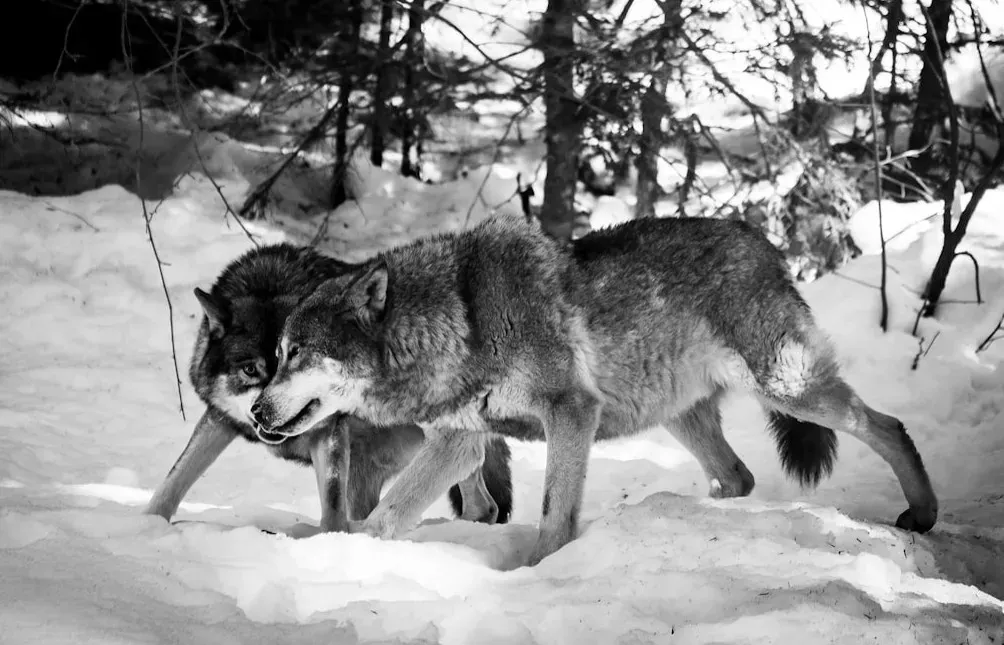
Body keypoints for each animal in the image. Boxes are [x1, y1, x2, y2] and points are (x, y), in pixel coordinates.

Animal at [144, 243, 513, 532]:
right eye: (251, 369)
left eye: (297, 360)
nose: (264, 412)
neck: (271, 283)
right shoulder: (220, 419)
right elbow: (175, 479)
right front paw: (146, 526)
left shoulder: (330, 431)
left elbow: (332, 509)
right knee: (482, 503)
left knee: (480, 498)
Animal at [251, 216, 938, 565]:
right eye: (276, 356)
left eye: (298, 354)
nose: (256, 410)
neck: (464, 316)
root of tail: (762, 241)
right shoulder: (462, 442)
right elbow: (388, 516)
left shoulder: (571, 413)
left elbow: (554, 514)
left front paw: (537, 573)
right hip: (682, 416)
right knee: (739, 476)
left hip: (786, 388)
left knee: (889, 426)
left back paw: (923, 515)